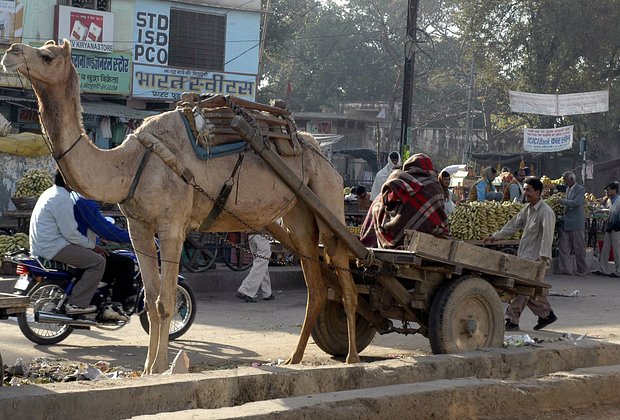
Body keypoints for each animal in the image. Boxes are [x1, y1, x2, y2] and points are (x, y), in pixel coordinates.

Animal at [1, 40, 358, 374]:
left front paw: (160, 367)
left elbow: (166, 301)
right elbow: (150, 300)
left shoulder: (172, 225)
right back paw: (294, 359)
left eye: (47, 56)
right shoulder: (139, 227)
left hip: (327, 196)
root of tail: (321, 153)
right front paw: (148, 368)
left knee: (343, 266)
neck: (129, 163)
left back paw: (351, 357)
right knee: (315, 282)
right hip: (299, 212)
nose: (11, 52)